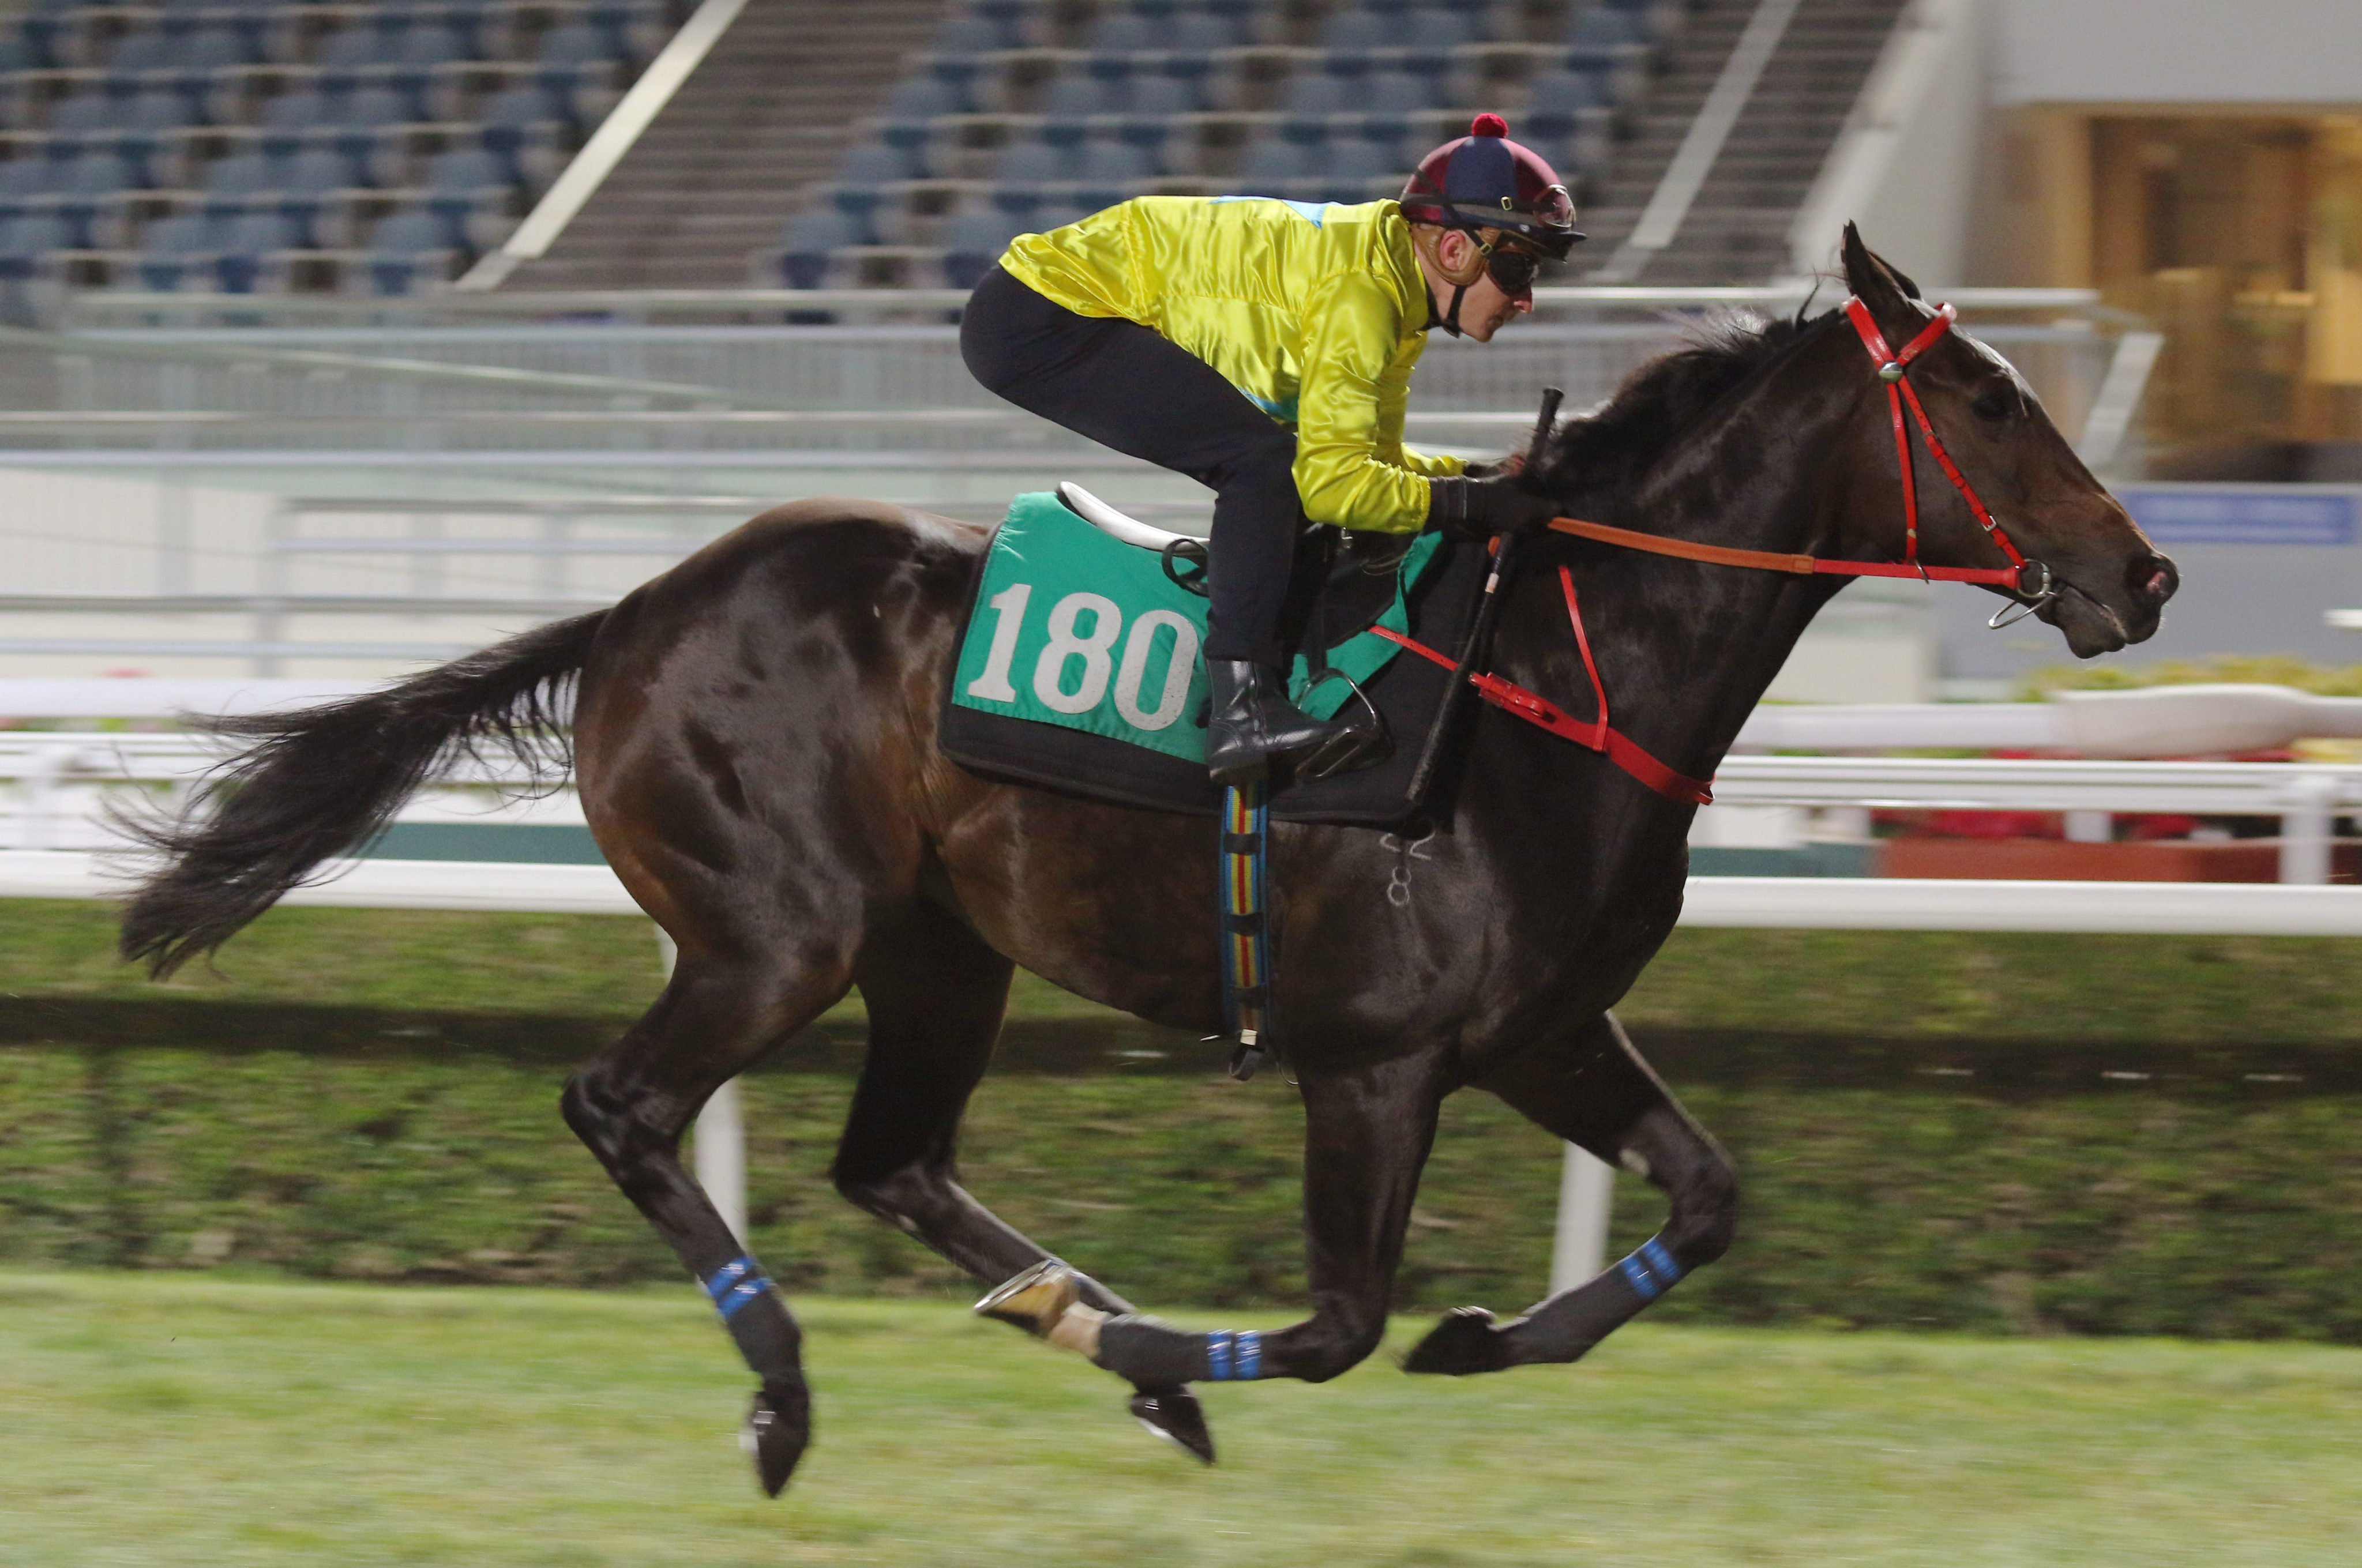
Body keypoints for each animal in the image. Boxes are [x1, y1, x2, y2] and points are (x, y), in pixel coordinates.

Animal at [119, 232, 2164, 1492]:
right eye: (1985, 401)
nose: (2138, 572)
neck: (1552, 676)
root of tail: (632, 608)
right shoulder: (1376, 1061)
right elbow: (1334, 1327)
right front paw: (1208, 1353)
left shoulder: (1541, 1030)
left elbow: (1709, 1195)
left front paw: (1473, 1339)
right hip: (777, 932)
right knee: (625, 1107)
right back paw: (789, 1389)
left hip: (939, 947)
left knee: (894, 1159)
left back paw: (1054, 1308)